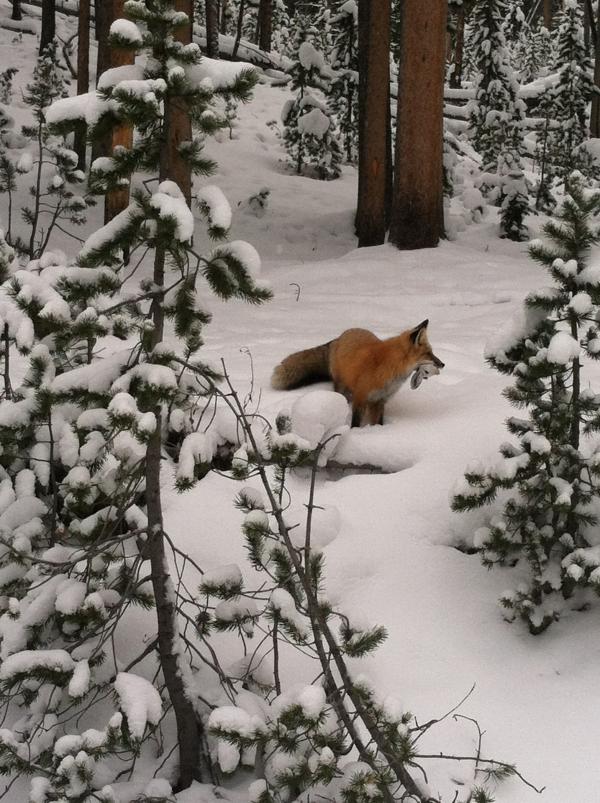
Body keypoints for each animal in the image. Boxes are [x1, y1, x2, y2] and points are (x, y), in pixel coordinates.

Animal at [271, 320, 444, 427]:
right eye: (428, 354)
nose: (443, 364)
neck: (388, 366)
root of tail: (339, 337)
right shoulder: (361, 397)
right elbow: (355, 423)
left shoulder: (380, 401)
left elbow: (378, 422)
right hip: (341, 386)